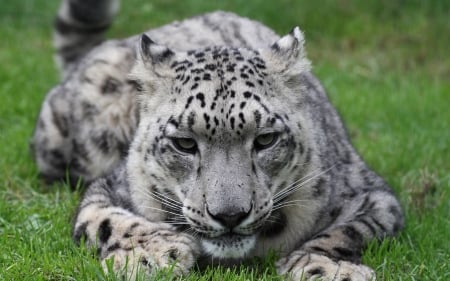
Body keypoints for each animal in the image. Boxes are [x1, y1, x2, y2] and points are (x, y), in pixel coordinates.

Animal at [30, 0, 404, 278]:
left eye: (265, 139)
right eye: (184, 143)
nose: (229, 215)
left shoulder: (371, 195)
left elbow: (347, 230)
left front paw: (326, 268)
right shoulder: (112, 187)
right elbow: (104, 219)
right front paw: (154, 254)